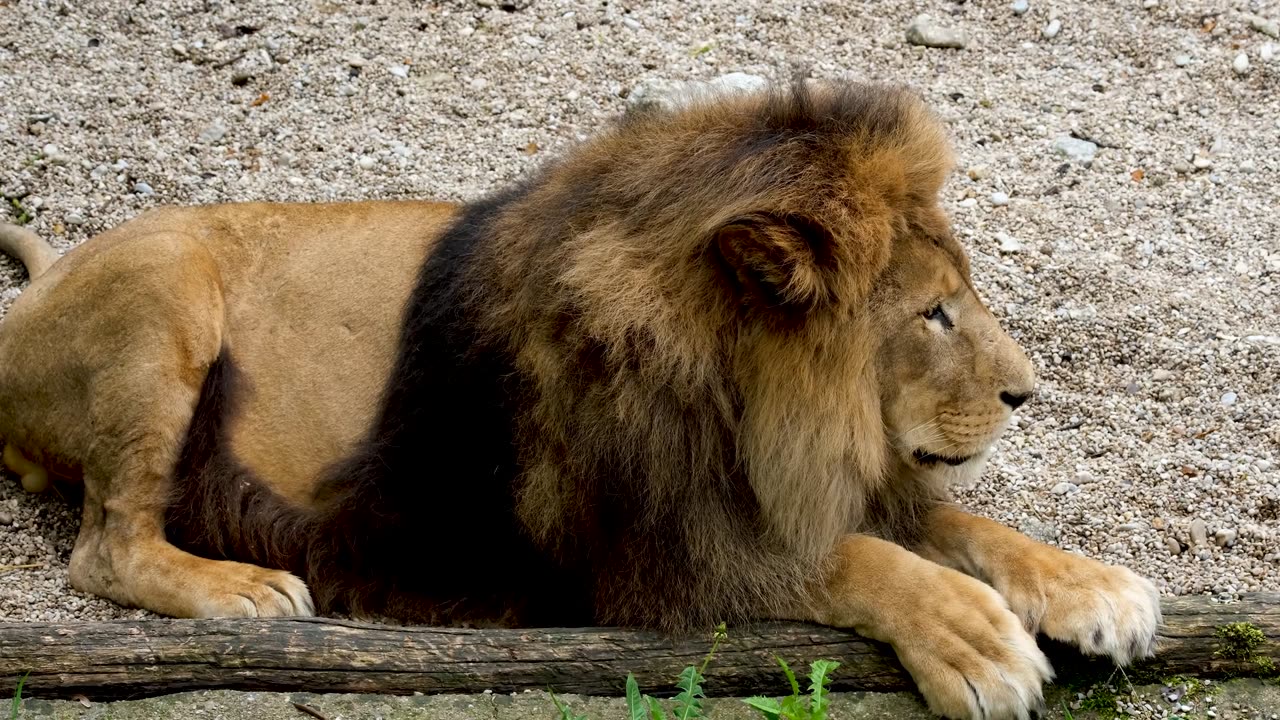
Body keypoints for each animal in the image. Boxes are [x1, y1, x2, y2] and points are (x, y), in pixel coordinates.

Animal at [0, 81, 1162, 712]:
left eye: (957, 301)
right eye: (931, 314)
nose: (1027, 392)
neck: (748, 401)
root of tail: (39, 286)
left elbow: (960, 523)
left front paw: (1089, 585)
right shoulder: (637, 540)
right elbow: (850, 559)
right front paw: (976, 643)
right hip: (167, 293)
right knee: (106, 548)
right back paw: (241, 589)